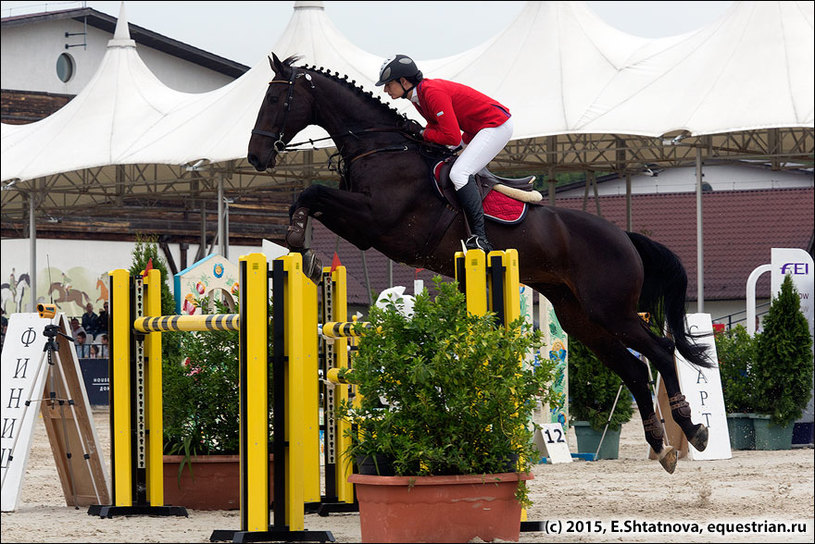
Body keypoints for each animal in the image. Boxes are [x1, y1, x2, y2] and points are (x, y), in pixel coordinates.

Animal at [249, 54, 712, 472]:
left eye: (274, 98)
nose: (255, 157)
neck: (381, 147)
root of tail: (625, 236)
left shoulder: (377, 220)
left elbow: (311, 191)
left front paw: (298, 243)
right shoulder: (365, 229)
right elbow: (308, 197)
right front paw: (304, 252)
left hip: (610, 309)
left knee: (661, 350)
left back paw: (692, 429)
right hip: (581, 317)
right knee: (633, 368)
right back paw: (662, 447)